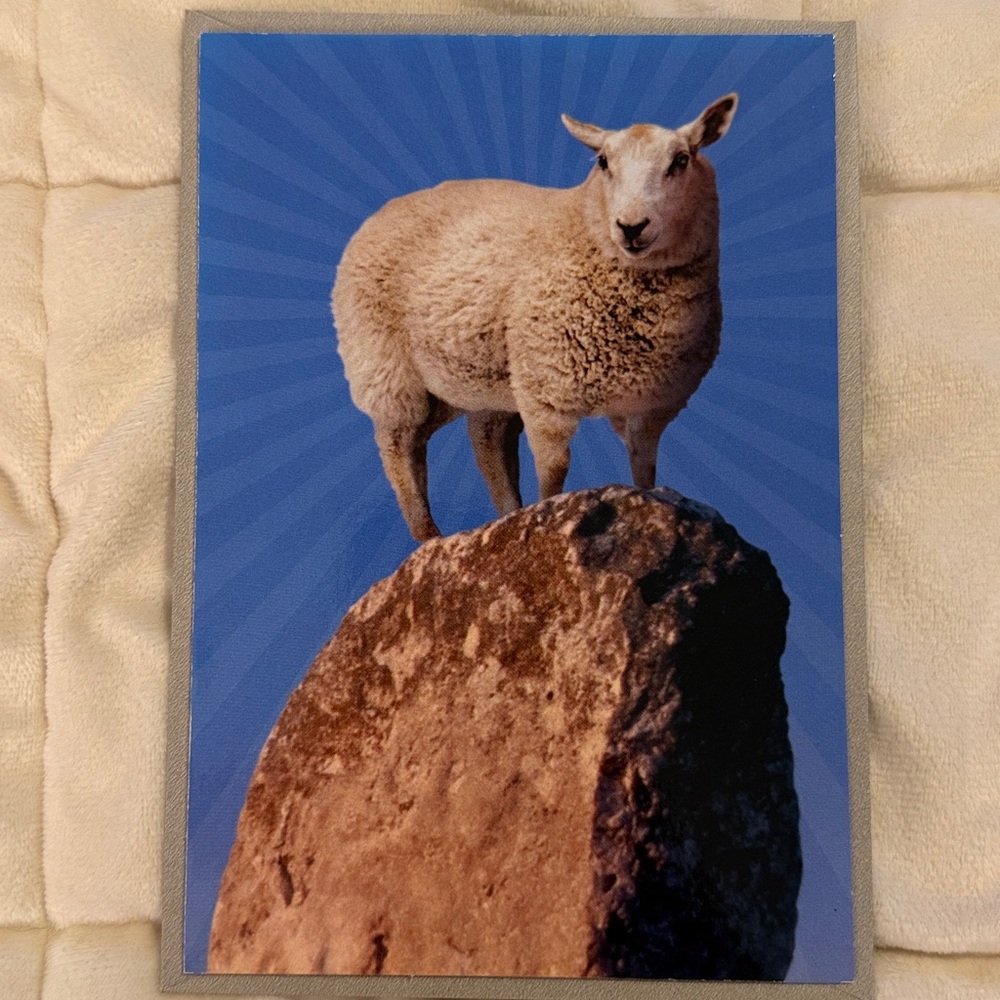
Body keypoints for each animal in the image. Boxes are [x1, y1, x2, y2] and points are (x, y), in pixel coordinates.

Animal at [332, 93, 738, 541]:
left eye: (681, 160)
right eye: (603, 162)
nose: (631, 227)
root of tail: (385, 210)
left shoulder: (654, 403)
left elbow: (644, 470)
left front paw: (652, 509)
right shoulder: (547, 388)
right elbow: (554, 471)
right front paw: (547, 517)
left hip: (481, 377)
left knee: (485, 440)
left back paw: (505, 516)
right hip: (386, 369)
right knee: (400, 447)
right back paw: (430, 536)